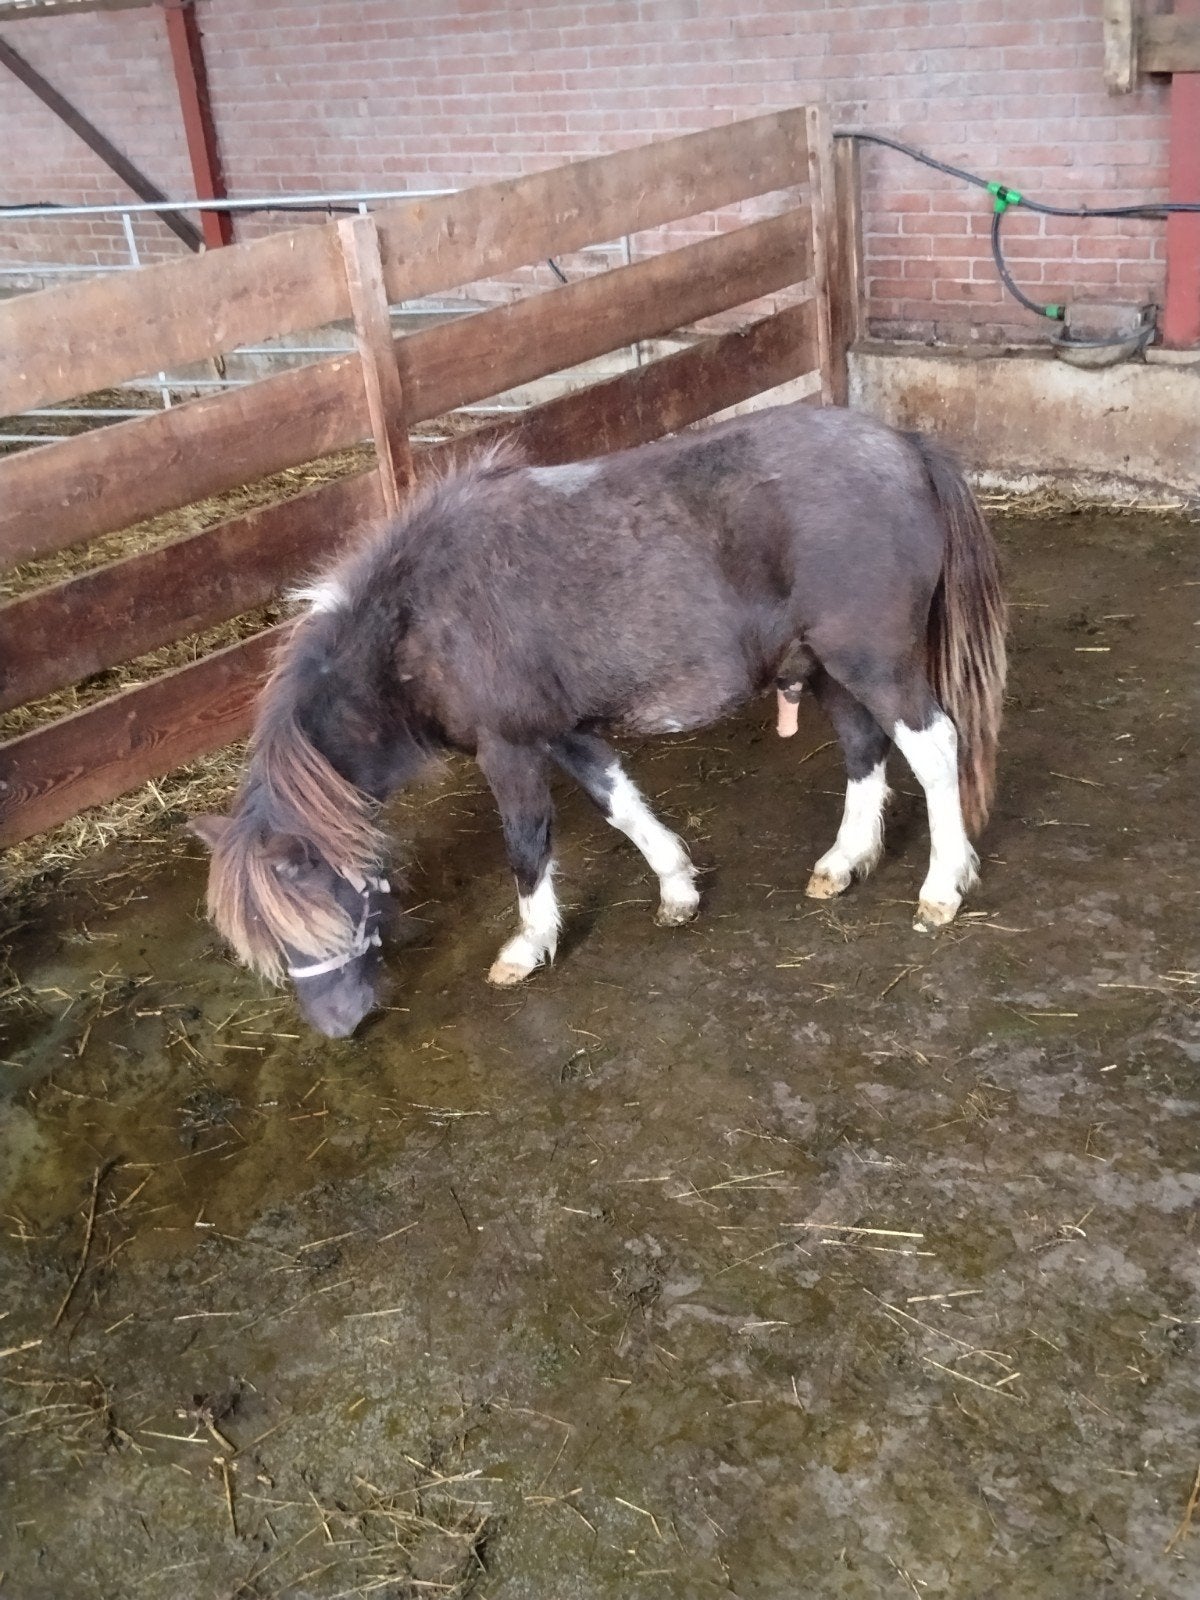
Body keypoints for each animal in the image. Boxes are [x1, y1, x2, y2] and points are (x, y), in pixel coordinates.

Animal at [189, 402, 1007, 1038]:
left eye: (322, 905)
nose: (338, 1025)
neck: (418, 619)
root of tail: (904, 446)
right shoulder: (566, 732)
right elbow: (621, 806)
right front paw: (677, 889)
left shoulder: (509, 748)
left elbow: (527, 846)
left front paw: (527, 947)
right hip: (831, 669)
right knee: (864, 751)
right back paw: (845, 861)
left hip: (874, 663)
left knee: (936, 748)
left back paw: (943, 884)